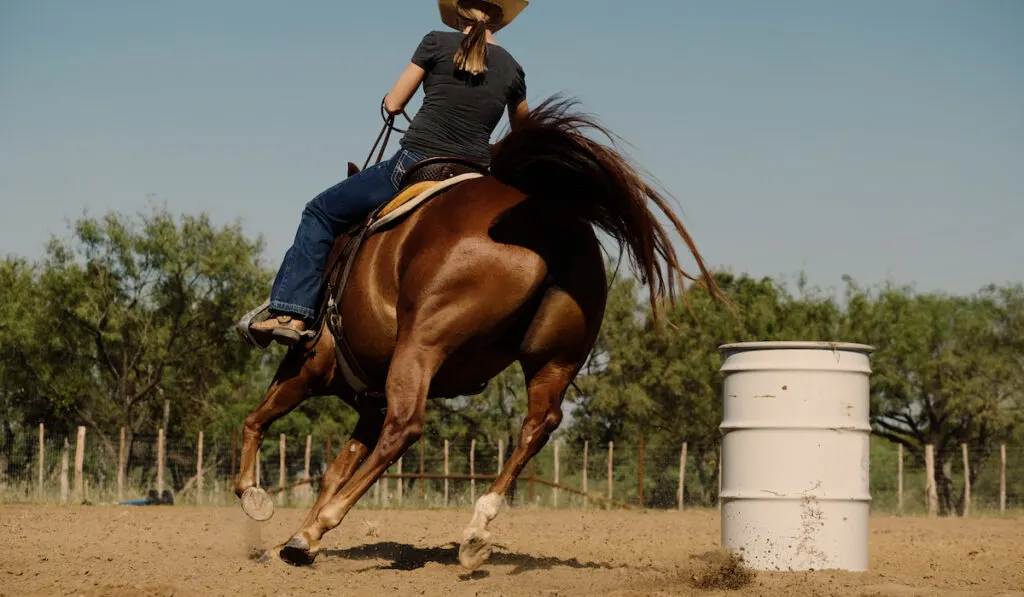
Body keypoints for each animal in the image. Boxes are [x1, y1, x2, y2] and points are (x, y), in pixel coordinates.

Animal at [234, 98, 729, 569]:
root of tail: (544, 215)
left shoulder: (307, 369)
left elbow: (258, 420)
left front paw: (260, 502)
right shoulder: (368, 404)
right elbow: (336, 469)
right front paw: (301, 537)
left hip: (421, 346)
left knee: (405, 427)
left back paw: (333, 522)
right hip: (555, 359)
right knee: (538, 424)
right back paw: (476, 529)